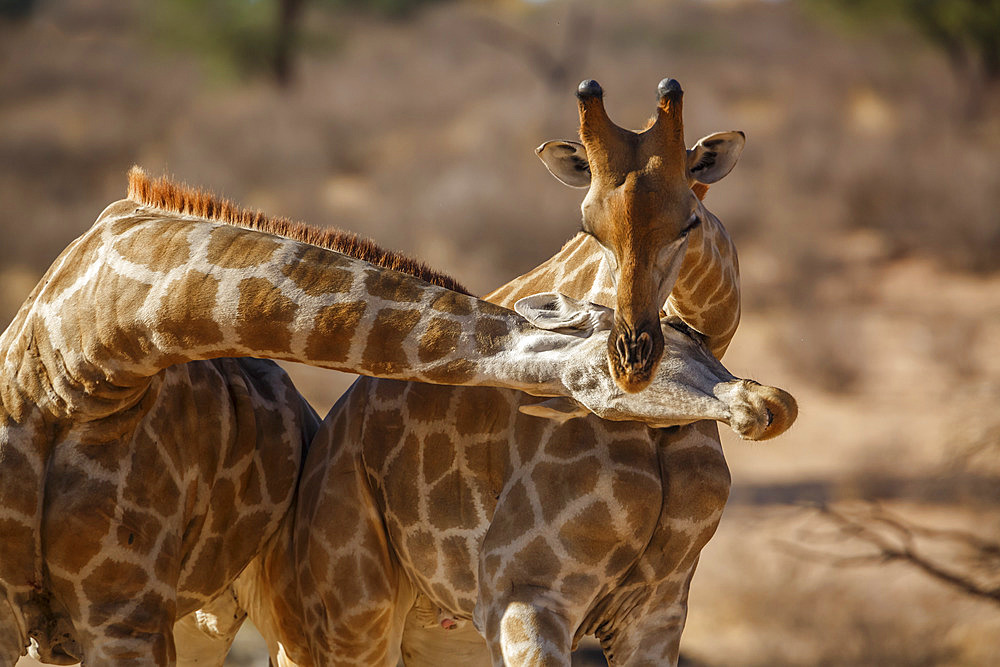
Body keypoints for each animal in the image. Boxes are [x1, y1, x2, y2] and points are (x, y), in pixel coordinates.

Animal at [229, 81, 796, 664]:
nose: (633, 354)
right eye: (588, 227)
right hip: (349, 617)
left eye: (690, 220)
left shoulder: (658, 609)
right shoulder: (524, 592)